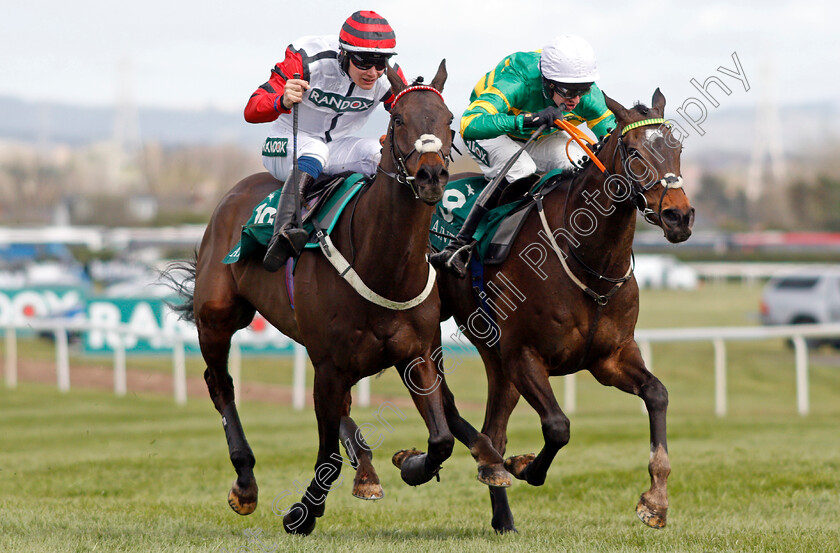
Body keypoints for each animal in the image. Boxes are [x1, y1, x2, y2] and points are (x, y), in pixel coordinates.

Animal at [167, 60, 506, 536]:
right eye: (397, 120)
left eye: (448, 119)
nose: (431, 175)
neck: (382, 266)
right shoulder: (329, 364)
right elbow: (327, 451)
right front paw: (302, 512)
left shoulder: (416, 353)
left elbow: (439, 439)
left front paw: (411, 464)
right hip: (217, 317)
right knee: (220, 384)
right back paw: (246, 482)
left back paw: (370, 467)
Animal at [434, 89, 696, 532]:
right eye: (634, 151)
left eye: (676, 148)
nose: (679, 216)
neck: (586, 260)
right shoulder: (524, 354)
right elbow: (558, 427)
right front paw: (523, 466)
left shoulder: (609, 357)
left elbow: (657, 394)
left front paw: (656, 501)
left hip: (494, 354)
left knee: (493, 427)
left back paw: (502, 513)